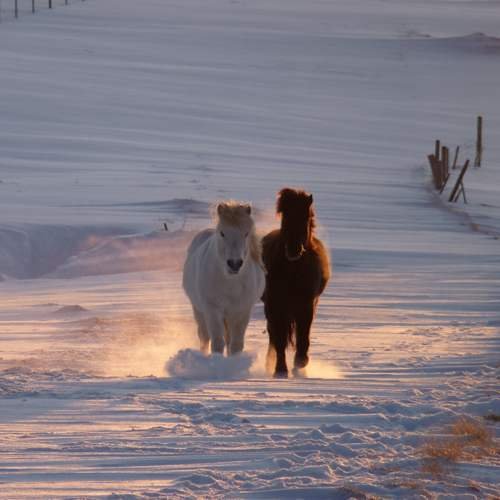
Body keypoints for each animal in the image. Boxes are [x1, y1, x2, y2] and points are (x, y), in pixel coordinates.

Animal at [182, 200, 264, 356]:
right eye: (222, 233)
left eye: (246, 233)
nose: (234, 263)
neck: (230, 284)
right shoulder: (212, 310)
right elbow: (217, 342)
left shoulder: (242, 312)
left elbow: (236, 344)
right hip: (199, 311)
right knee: (204, 337)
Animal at [260, 189, 330, 376]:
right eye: (285, 216)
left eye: (305, 216)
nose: (293, 249)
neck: (293, 269)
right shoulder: (276, 305)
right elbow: (279, 339)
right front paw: (280, 370)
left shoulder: (306, 305)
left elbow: (303, 336)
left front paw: (300, 362)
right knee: (273, 335)